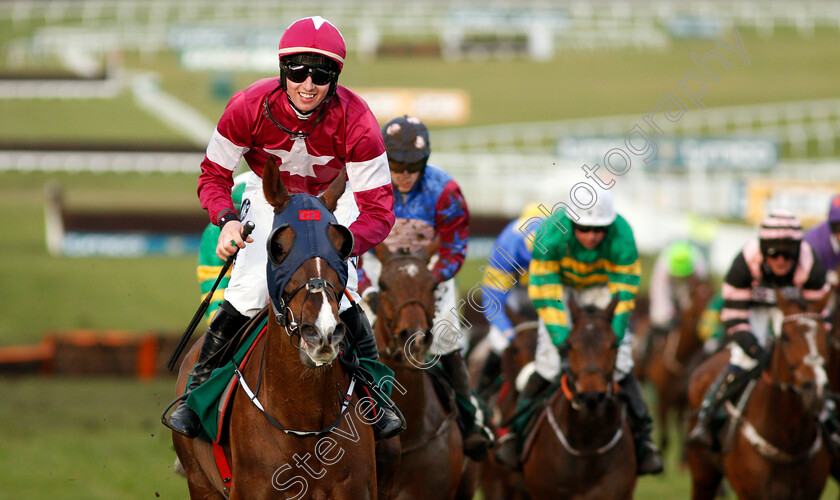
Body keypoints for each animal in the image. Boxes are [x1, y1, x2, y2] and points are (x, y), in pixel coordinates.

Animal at [640, 278, 712, 458]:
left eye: (714, 294)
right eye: (697, 298)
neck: (681, 357)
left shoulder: (683, 401)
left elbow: (681, 437)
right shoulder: (662, 400)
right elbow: (665, 439)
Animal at [684, 292, 832, 498]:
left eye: (825, 336)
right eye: (785, 337)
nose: (814, 388)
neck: (790, 440)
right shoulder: (750, 492)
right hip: (703, 475)